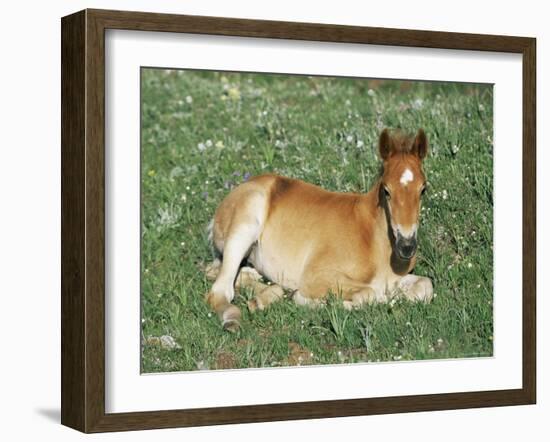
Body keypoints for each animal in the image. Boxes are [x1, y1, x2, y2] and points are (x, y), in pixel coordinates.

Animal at [205, 128, 434, 332]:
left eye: (423, 189)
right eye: (386, 190)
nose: (407, 247)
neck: (373, 240)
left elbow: (425, 286)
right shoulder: (316, 276)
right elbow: (369, 293)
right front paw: (312, 300)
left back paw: (262, 298)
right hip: (245, 225)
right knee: (219, 290)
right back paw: (233, 319)